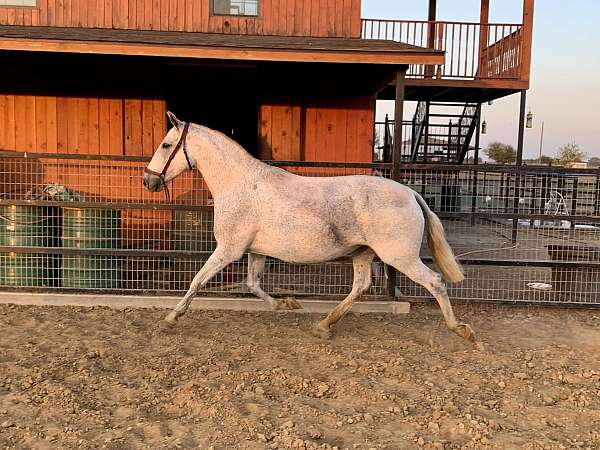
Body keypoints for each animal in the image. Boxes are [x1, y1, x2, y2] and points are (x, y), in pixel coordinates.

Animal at [143, 111, 476, 342]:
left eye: (166, 144)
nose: (148, 181)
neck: (241, 184)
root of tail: (410, 193)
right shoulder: (255, 251)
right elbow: (252, 284)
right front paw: (286, 304)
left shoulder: (228, 249)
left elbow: (197, 281)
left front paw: (171, 318)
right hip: (363, 253)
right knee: (360, 287)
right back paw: (324, 325)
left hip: (399, 257)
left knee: (435, 282)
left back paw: (461, 330)